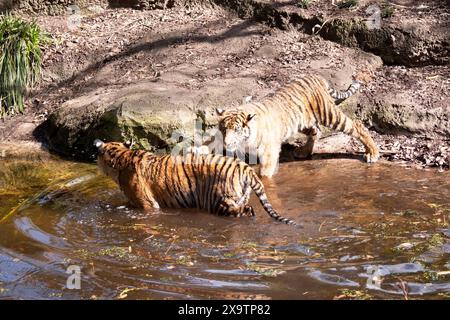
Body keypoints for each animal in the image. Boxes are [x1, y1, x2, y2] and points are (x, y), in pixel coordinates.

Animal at [214, 73, 380, 178]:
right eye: (223, 129)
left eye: (236, 130)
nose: (226, 143)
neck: (247, 139)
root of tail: (315, 76)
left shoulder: (269, 150)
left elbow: (265, 173)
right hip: (302, 122)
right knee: (316, 131)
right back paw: (303, 151)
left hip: (329, 114)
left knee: (356, 125)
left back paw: (372, 153)